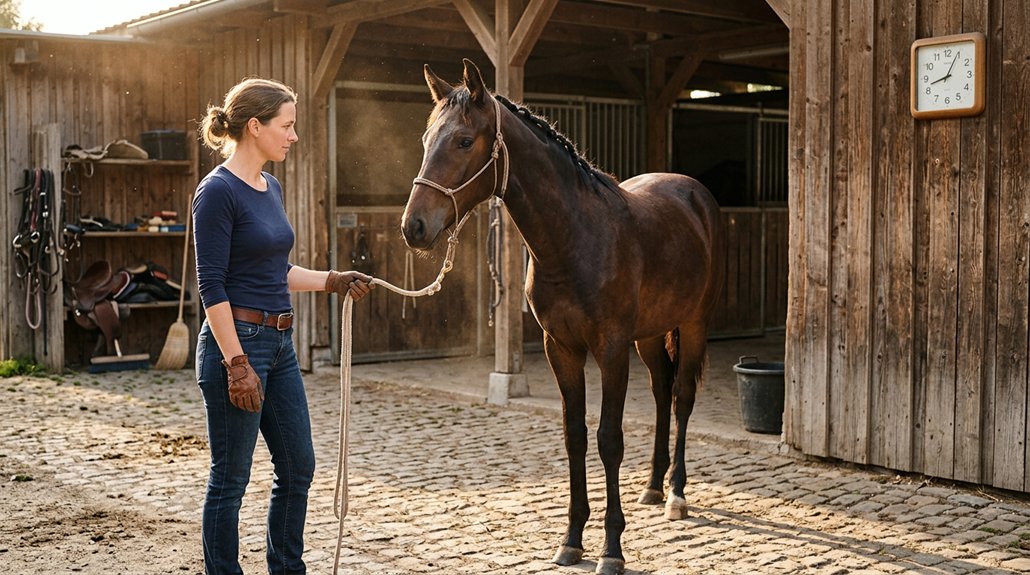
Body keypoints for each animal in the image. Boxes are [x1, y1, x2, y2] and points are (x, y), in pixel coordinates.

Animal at [401, 59, 725, 575]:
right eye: (427, 139)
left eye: (464, 141)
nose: (413, 227)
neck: (574, 237)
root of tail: (695, 193)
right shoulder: (562, 349)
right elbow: (575, 436)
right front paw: (572, 540)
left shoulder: (610, 349)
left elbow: (609, 440)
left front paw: (612, 549)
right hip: (650, 335)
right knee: (661, 392)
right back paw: (653, 487)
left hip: (693, 325)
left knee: (682, 397)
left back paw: (676, 493)